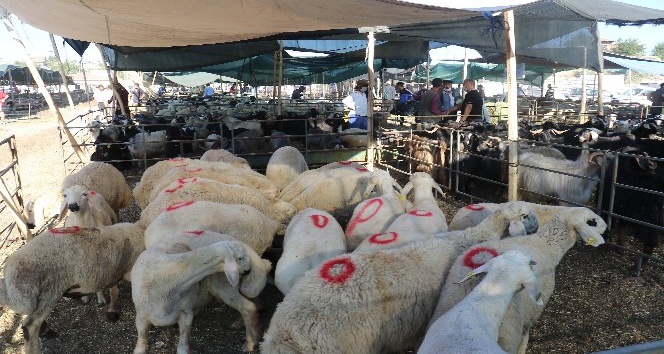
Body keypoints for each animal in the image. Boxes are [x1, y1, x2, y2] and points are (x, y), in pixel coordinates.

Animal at [0, 224, 145, 354]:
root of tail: (10, 272)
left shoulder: (115, 271)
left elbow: (114, 291)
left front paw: (112, 311)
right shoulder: (126, 270)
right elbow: (117, 291)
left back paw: (45, 330)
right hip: (50, 292)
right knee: (30, 325)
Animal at [430, 207, 608, 354]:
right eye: (592, 221)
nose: (607, 227)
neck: (547, 244)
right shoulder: (532, 313)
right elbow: (525, 336)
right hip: (509, 334)